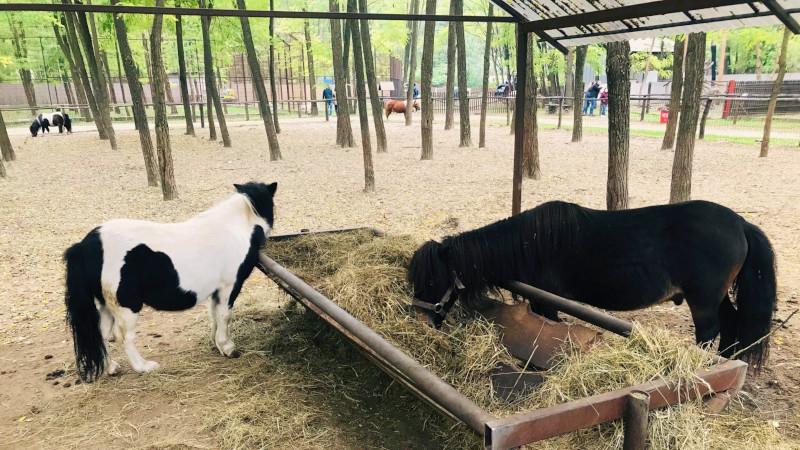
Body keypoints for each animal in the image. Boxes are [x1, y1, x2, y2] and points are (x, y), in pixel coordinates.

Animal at [62, 181, 276, 382]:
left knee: (101, 334)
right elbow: (224, 315)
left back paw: (111, 367)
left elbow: (214, 315)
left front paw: (217, 344)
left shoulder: (215, 290)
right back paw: (143, 367)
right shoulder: (229, 287)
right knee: (124, 337)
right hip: (126, 307)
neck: (233, 228)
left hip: (105, 305)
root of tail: (85, 246)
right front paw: (228, 347)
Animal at [410, 200, 780, 370]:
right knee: (730, 324)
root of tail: (740, 224)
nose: (420, 321)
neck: (531, 243)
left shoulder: (549, 301)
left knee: (708, 333)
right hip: (716, 297)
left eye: (432, 280)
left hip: (702, 301)